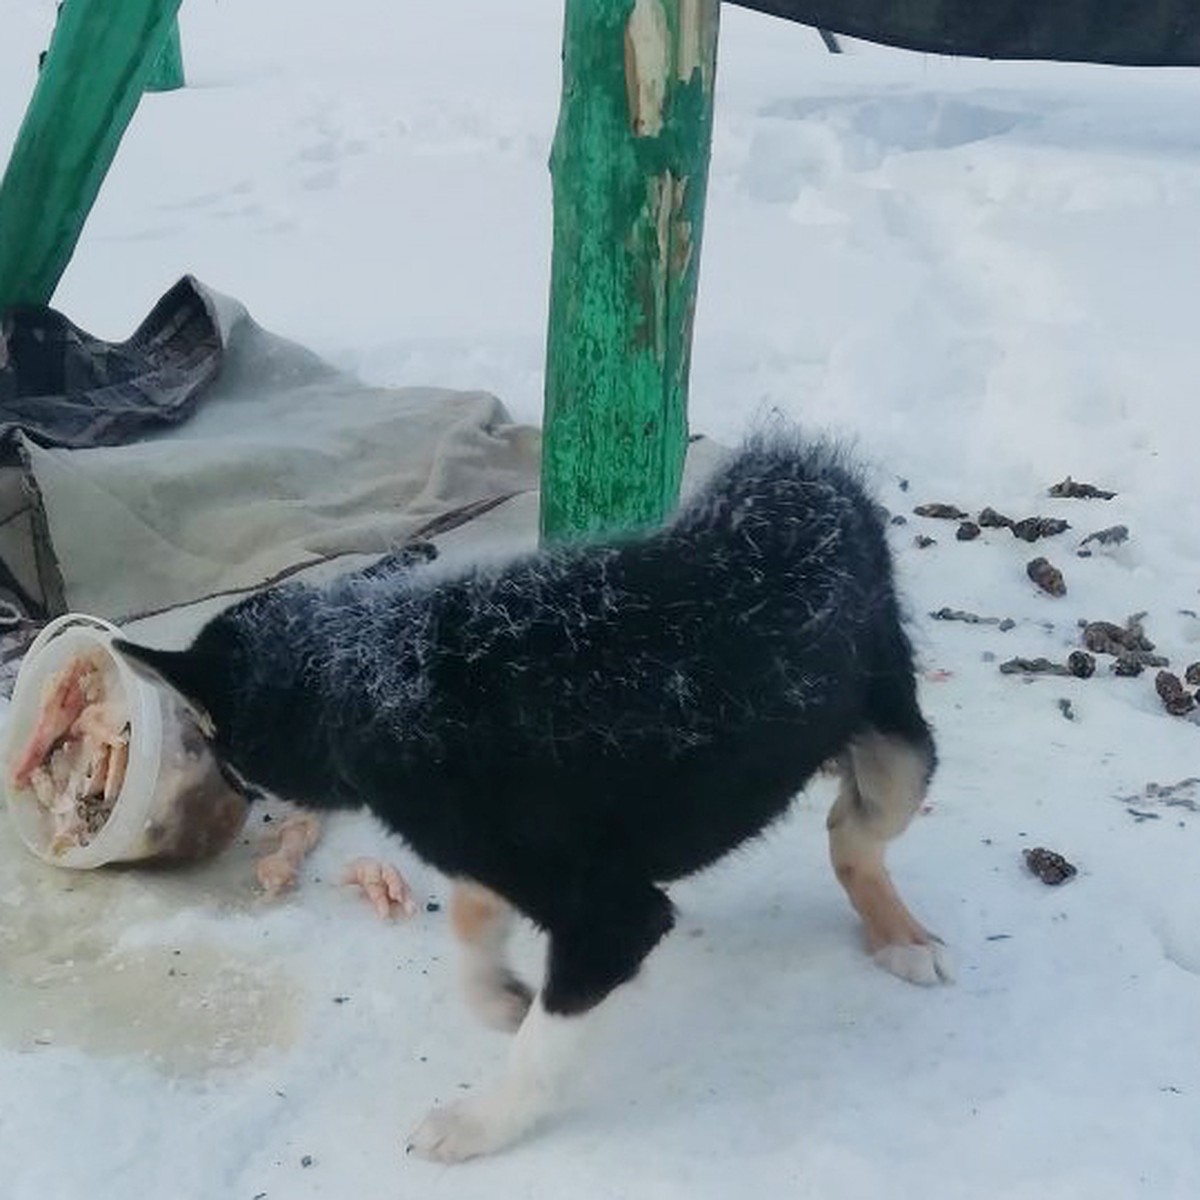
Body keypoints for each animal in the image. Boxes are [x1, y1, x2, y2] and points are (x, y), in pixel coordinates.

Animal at [117, 434, 950, 1161]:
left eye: (218, 741)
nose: (230, 787)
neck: (366, 675)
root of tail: (807, 470)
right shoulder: (493, 860)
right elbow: (469, 917)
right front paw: (498, 998)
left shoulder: (611, 917)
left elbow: (543, 1048)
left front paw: (476, 1125)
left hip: (896, 745)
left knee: (854, 831)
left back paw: (904, 943)